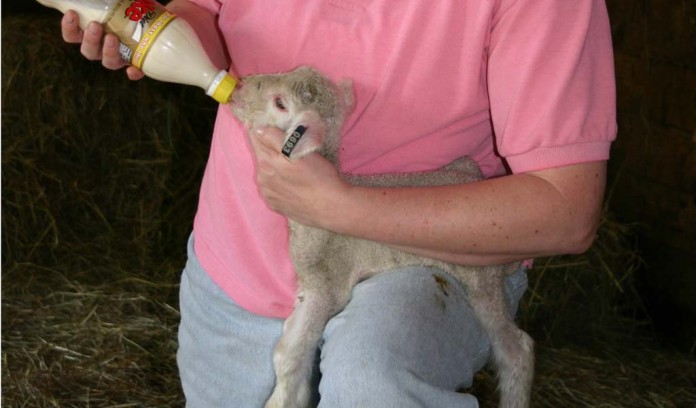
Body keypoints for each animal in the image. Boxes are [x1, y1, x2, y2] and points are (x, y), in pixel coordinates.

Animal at [230, 66, 534, 408]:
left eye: (280, 103)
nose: (240, 86)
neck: (310, 227)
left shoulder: (327, 284)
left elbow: (289, 354)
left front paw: (281, 400)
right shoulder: (307, 285)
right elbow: (287, 339)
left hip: (482, 280)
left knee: (517, 348)